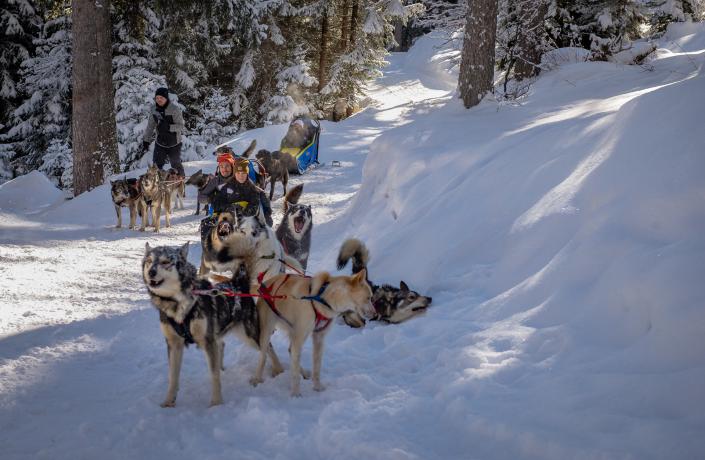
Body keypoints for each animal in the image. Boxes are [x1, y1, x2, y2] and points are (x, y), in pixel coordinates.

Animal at [140, 241, 284, 406]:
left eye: (165, 262)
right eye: (149, 261)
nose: (151, 272)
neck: (178, 302)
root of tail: (237, 283)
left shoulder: (207, 341)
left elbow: (214, 375)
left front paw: (216, 403)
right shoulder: (174, 344)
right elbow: (173, 377)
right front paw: (169, 402)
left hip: (249, 335)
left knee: (268, 347)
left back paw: (279, 370)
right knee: (222, 345)